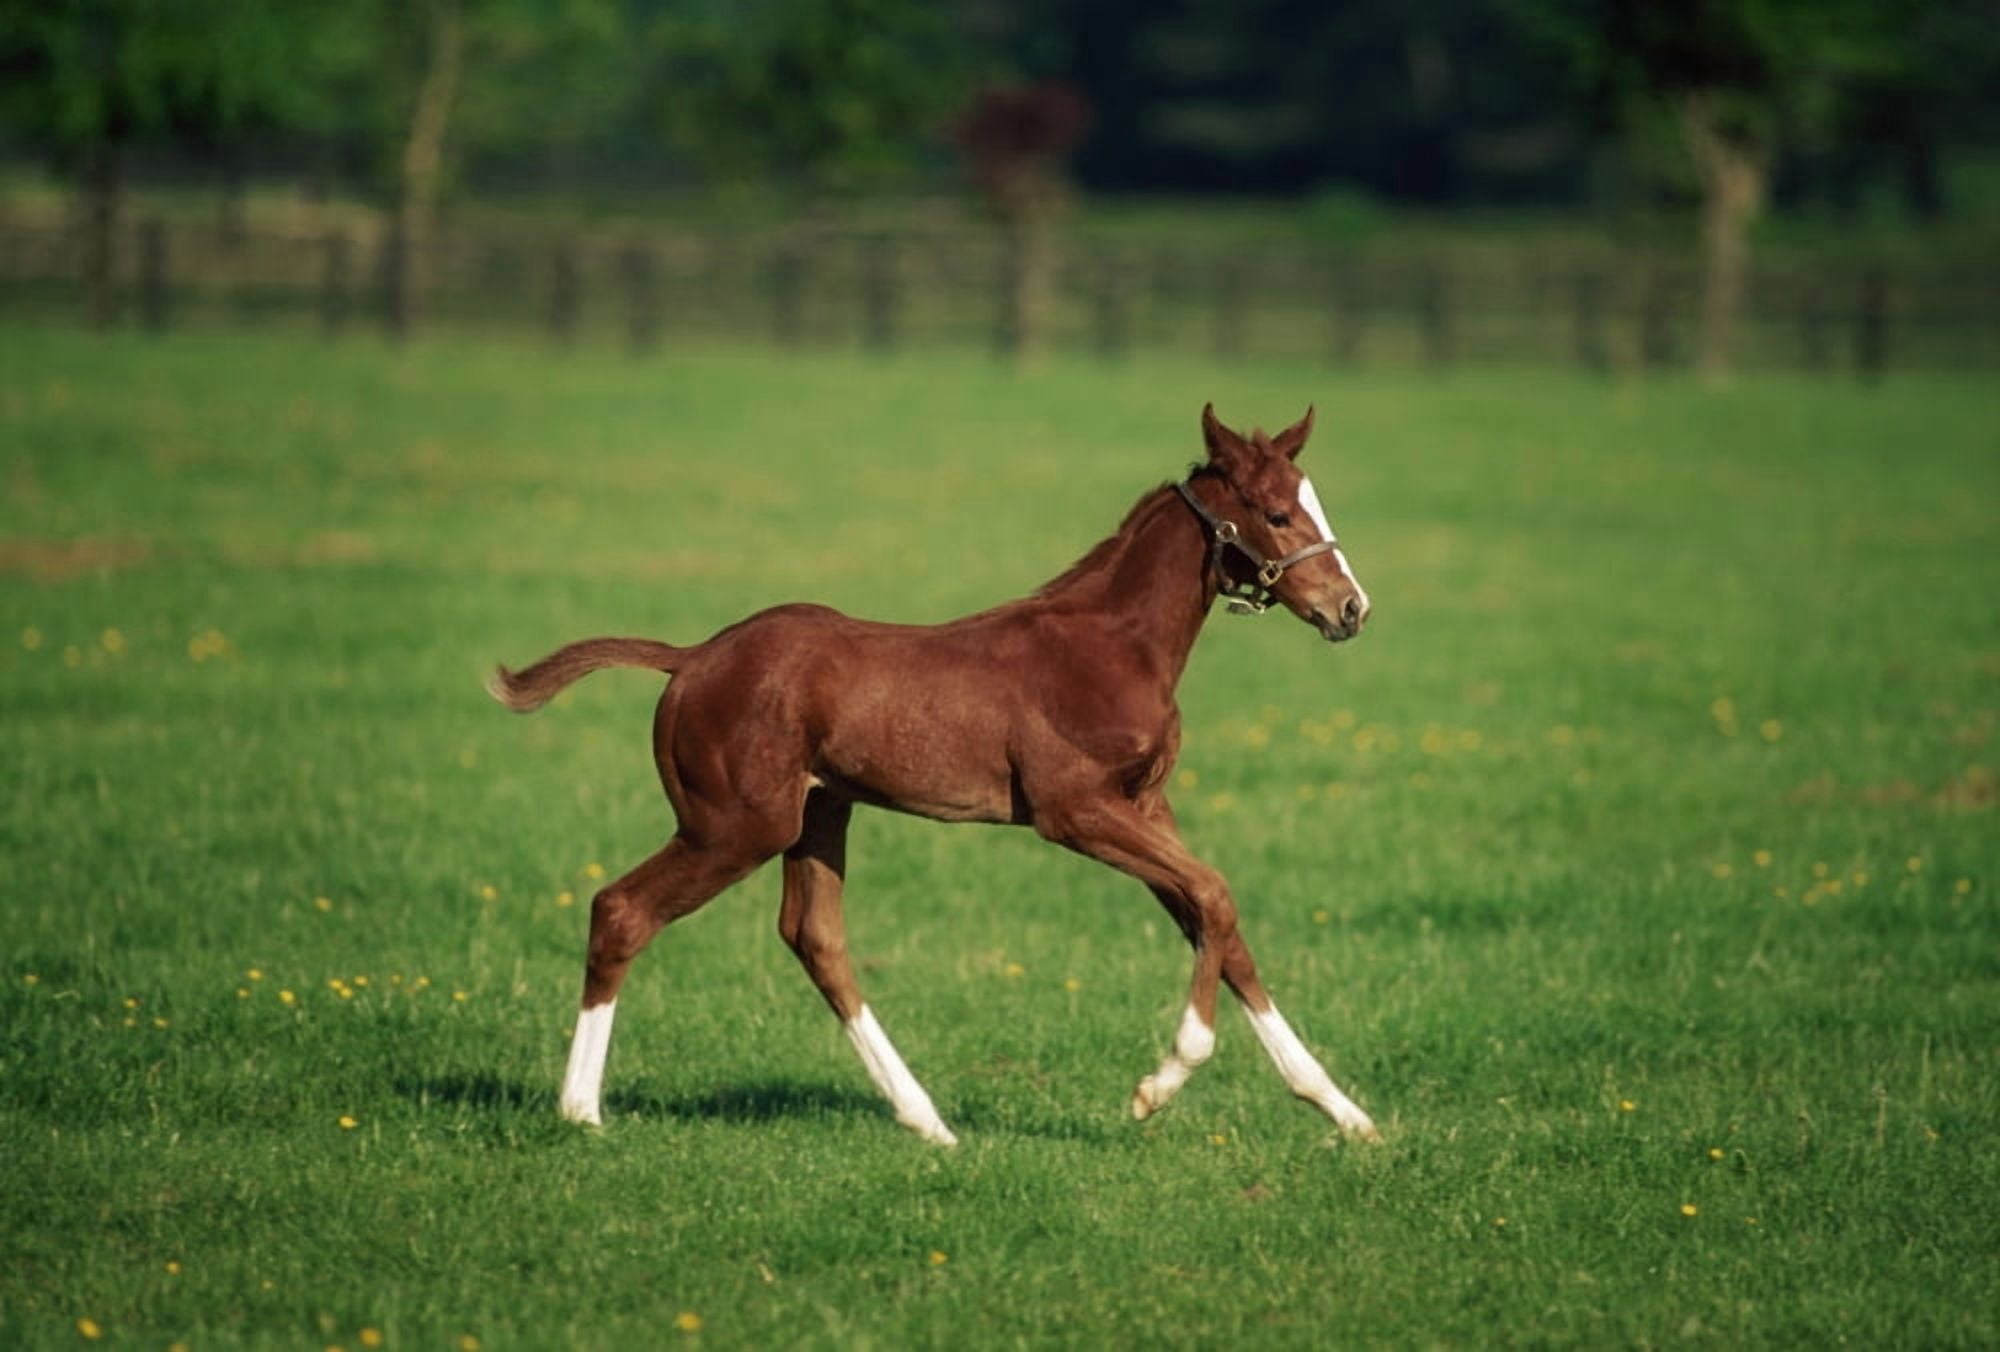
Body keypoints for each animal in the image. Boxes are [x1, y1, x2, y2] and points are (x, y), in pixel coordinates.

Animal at [489, 403, 1379, 1144]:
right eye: (1276, 513)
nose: (1351, 610)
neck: (1111, 643)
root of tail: (694, 657)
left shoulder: (1147, 804)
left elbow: (1221, 930)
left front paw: (1344, 1111)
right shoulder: (1075, 810)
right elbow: (1216, 897)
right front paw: (1161, 1081)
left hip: (817, 815)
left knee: (815, 940)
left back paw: (927, 1121)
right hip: (734, 826)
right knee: (621, 911)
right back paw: (580, 1110)